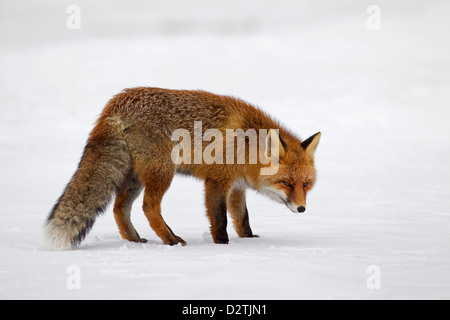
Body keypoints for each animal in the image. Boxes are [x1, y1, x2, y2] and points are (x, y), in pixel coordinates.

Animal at [44, 87, 320, 250]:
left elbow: (242, 218)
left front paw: (249, 241)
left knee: (119, 208)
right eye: (286, 183)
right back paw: (171, 240)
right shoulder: (217, 181)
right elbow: (219, 219)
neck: (247, 143)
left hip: (135, 178)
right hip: (162, 173)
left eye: (306, 184)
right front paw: (223, 246)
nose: (302, 209)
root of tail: (115, 104)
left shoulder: (236, 186)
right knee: (148, 207)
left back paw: (134, 241)